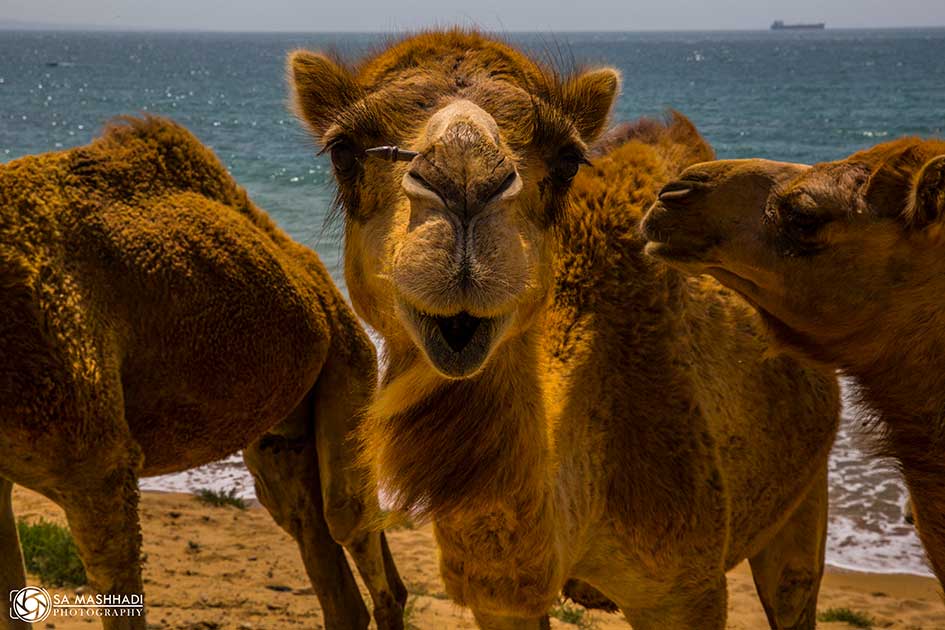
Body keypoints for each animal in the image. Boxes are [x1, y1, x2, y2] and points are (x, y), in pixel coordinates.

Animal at [0, 116, 406, 630]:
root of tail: (317, 277)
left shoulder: (96, 466)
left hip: (349, 356)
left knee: (349, 520)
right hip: (288, 421)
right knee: (312, 534)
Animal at [288, 30, 841, 629]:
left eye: (568, 159)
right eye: (343, 151)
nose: (464, 178)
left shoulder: (686, 590)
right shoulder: (497, 598)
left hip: (805, 495)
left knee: (793, 587)